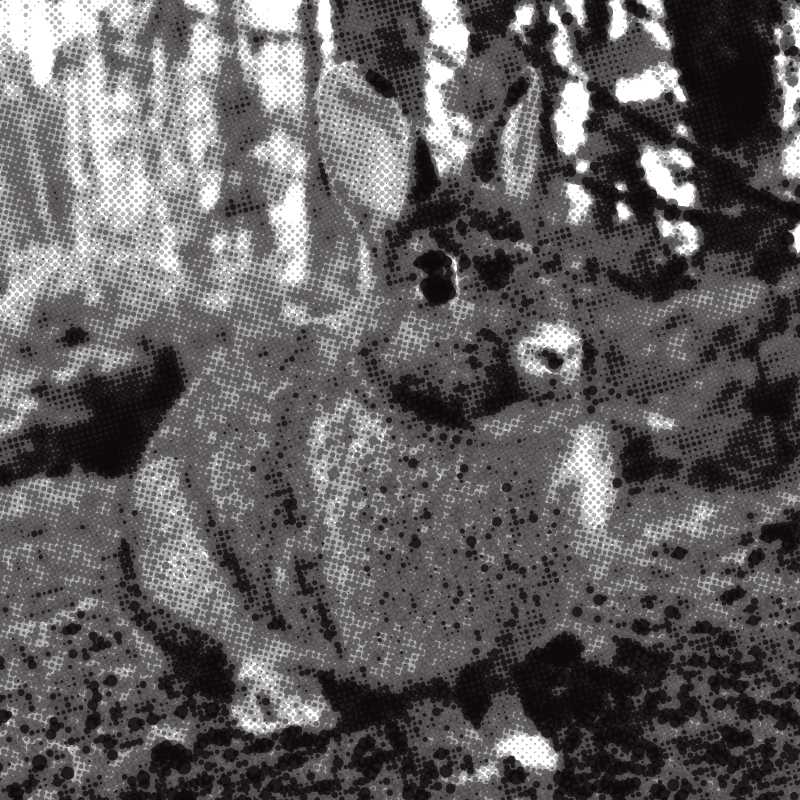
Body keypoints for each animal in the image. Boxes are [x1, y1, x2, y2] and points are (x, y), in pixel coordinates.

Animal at [127, 59, 618, 769]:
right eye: (435, 278)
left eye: (542, 261)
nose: (556, 350)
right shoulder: (377, 625)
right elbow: (422, 699)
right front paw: (463, 760)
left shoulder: (499, 636)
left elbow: (499, 690)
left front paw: (526, 749)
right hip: (188, 572)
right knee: (244, 657)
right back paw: (293, 710)